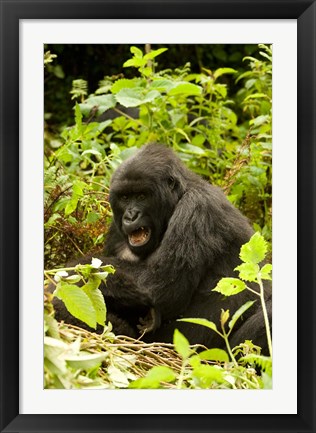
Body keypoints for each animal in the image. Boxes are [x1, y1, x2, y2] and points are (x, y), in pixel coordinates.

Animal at [51, 143, 272, 352]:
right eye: (124, 198)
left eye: (141, 196)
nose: (131, 216)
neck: (179, 196)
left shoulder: (197, 208)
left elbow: (158, 285)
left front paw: (68, 274)